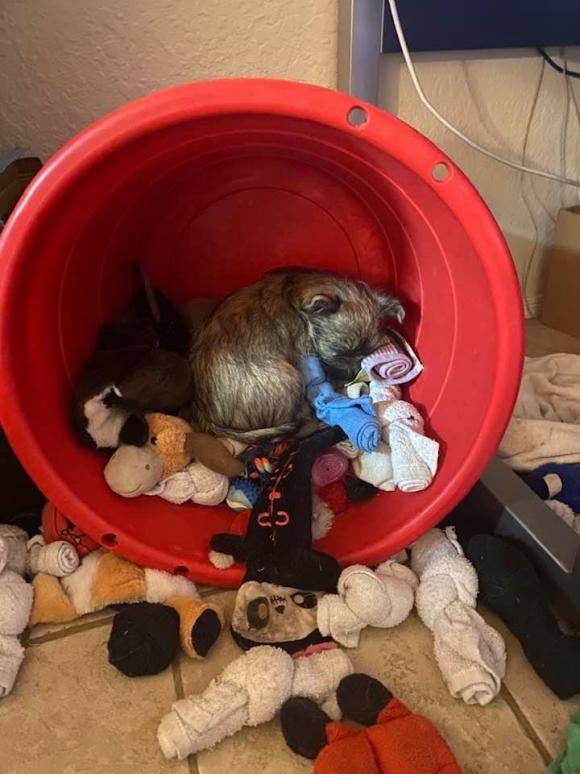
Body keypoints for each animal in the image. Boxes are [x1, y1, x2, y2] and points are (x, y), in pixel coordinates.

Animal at [191, 270, 404, 442]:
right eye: (337, 351)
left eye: (366, 353)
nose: (351, 377)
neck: (295, 293)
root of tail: (209, 419)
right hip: (291, 378)